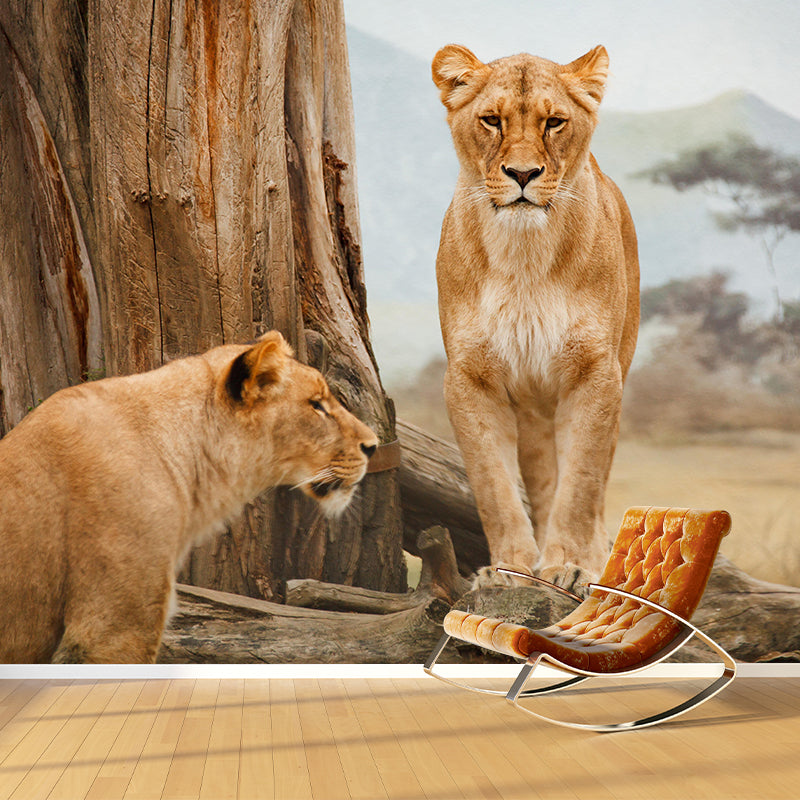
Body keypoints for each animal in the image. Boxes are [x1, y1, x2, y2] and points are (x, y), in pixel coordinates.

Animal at [431, 44, 639, 592]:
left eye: (554, 122)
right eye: (491, 120)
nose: (522, 175)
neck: (523, 255)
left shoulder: (595, 372)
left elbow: (582, 483)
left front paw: (571, 565)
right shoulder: (469, 378)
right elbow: (494, 485)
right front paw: (510, 571)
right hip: (532, 409)